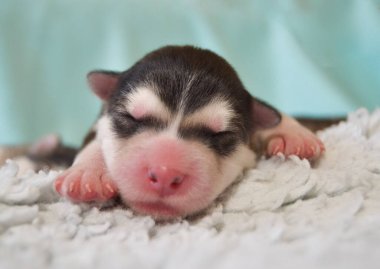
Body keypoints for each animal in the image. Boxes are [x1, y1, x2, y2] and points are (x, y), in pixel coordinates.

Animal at [55, 45, 326, 218]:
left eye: (221, 134)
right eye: (131, 117)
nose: (165, 175)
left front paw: (292, 134)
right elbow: (95, 139)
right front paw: (88, 174)